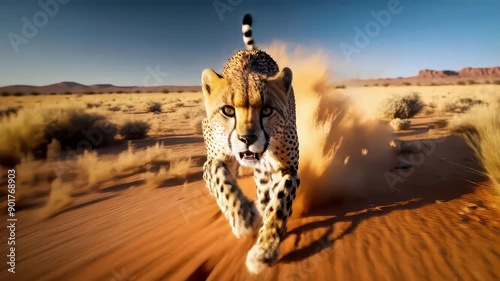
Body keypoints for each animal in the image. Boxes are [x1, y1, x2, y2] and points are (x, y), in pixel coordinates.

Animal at [200, 13, 300, 274]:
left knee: (267, 193)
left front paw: (264, 249)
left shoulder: (288, 169)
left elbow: (280, 202)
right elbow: (220, 179)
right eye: (228, 110)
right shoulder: (213, 159)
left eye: (266, 110)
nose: (247, 139)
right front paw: (243, 217)